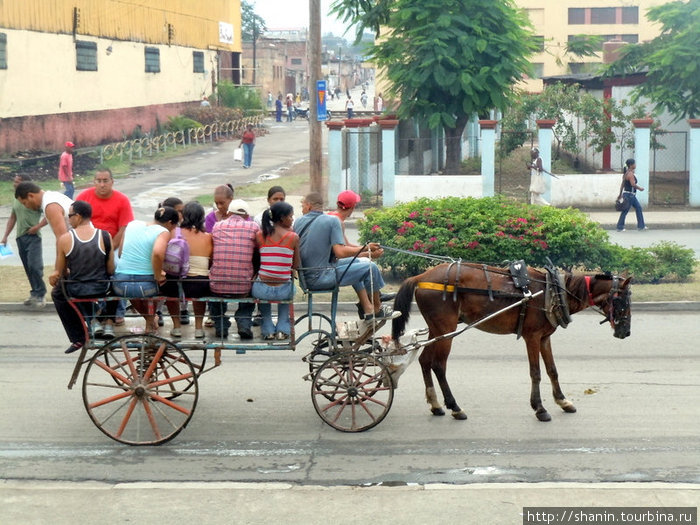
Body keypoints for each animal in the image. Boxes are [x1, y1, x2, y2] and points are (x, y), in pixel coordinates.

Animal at [392, 262, 632, 422]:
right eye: (622, 300)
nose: (626, 332)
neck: (552, 290)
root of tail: (422, 276)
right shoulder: (532, 337)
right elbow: (536, 372)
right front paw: (540, 408)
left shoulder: (544, 338)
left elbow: (552, 370)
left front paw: (562, 401)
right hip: (446, 330)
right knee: (438, 365)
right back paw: (454, 407)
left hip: (436, 329)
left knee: (424, 360)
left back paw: (435, 404)